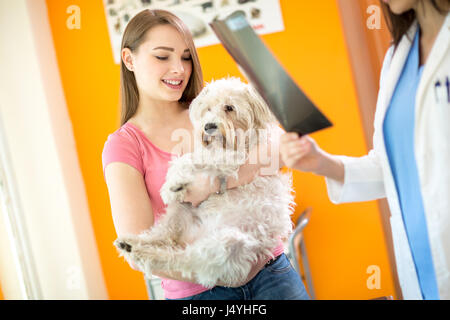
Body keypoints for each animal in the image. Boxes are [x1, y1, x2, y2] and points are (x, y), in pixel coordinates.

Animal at [114, 77, 294, 288]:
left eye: (229, 107)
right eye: (208, 109)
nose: (208, 126)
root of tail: (195, 236)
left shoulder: (235, 157)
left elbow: (195, 157)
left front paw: (176, 182)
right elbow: (190, 158)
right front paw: (174, 183)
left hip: (227, 244)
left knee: (181, 258)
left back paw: (144, 253)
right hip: (181, 210)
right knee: (165, 236)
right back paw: (132, 244)